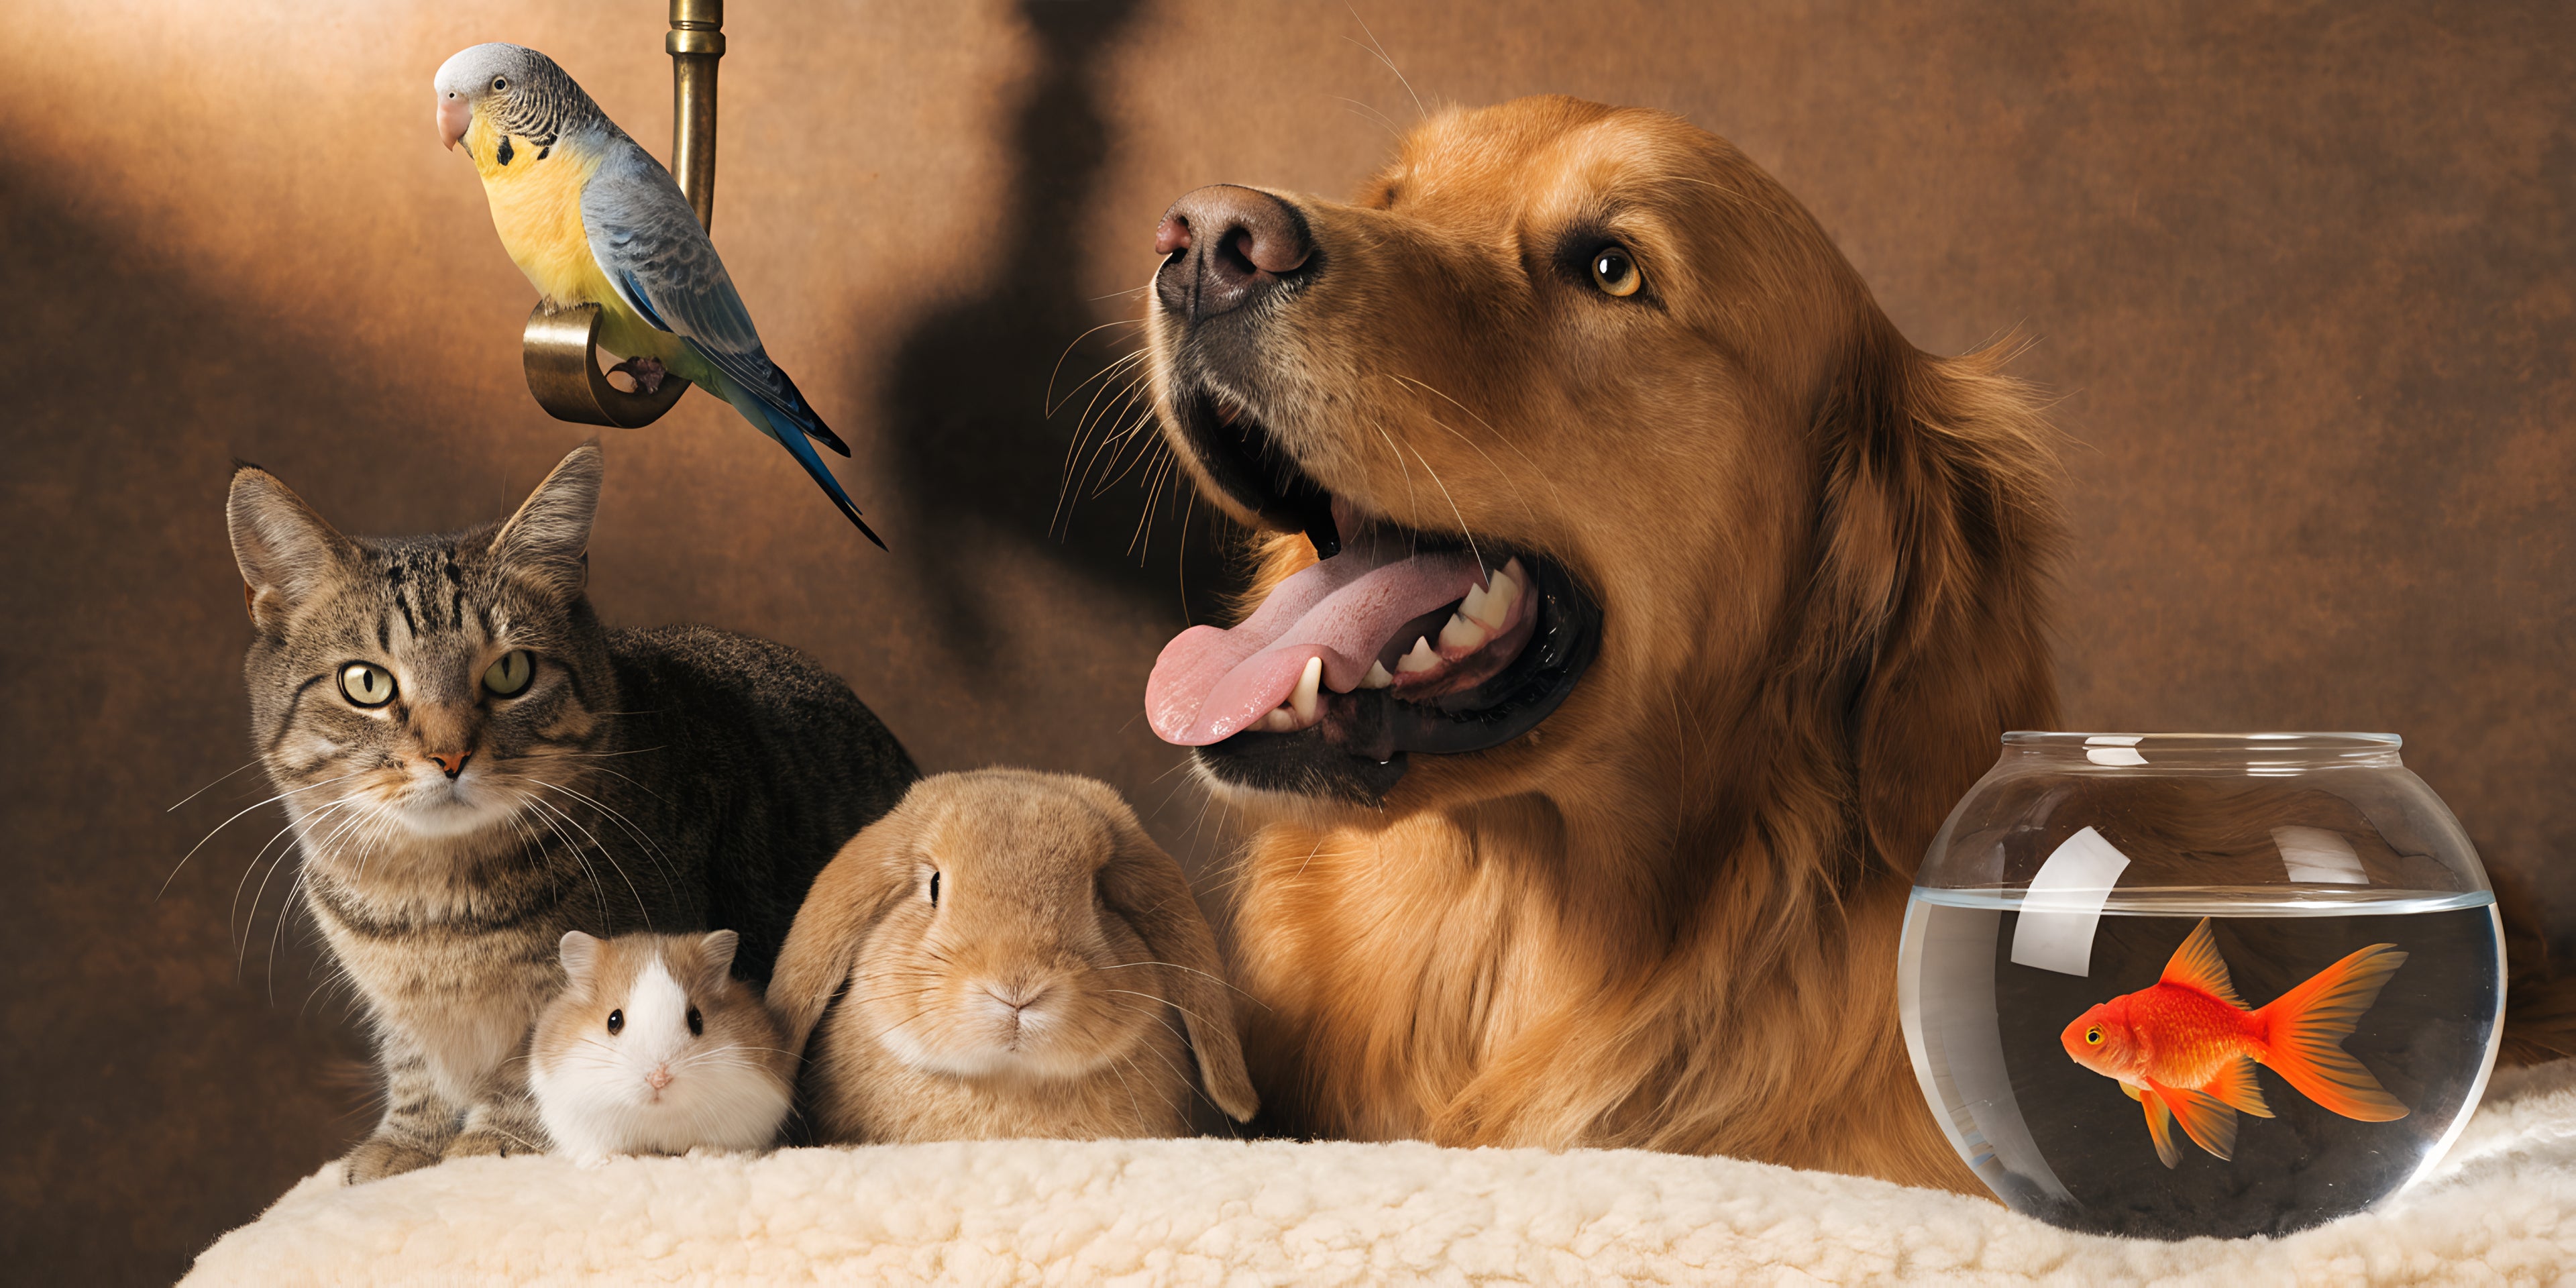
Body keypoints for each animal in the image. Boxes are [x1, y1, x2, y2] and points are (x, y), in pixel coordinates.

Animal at [529, 930, 795, 1165]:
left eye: (697, 1020)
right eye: (613, 1020)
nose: (659, 1079)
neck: (657, 1113)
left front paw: (705, 1155)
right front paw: (606, 1161)